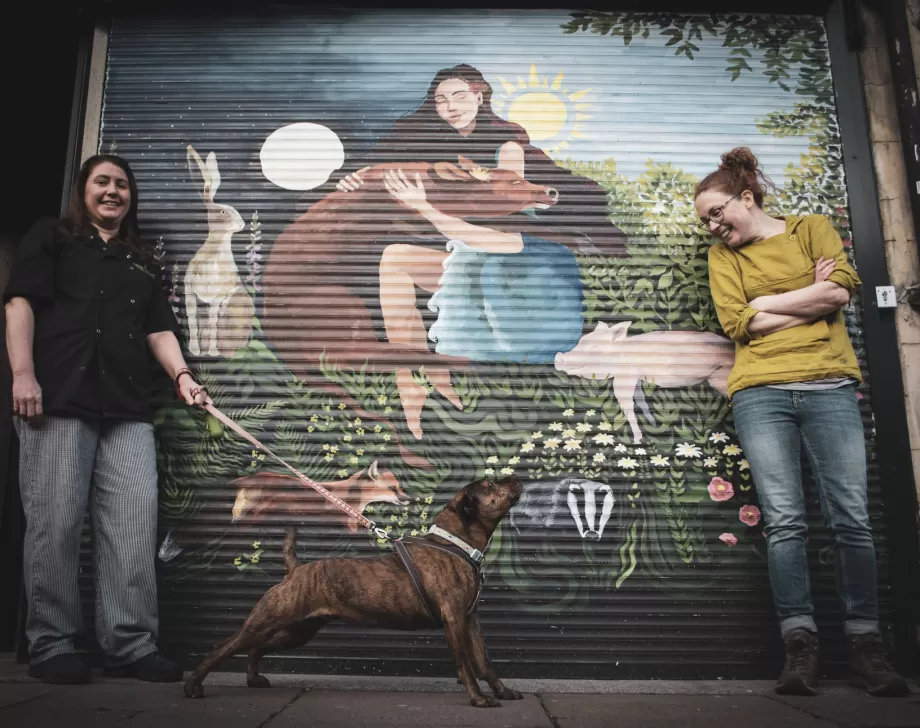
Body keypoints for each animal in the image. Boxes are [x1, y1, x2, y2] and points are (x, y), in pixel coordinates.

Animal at [183, 474, 520, 708]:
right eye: (490, 484)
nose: (517, 477)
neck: (455, 543)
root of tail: (296, 568)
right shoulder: (454, 620)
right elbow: (467, 664)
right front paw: (478, 698)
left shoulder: (470, 620)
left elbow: (485, 661)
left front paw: (503, 691)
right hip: (267, 619)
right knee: (225, 647)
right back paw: (193, 686)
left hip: (298, 630)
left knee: (257, 648)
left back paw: (253, 678)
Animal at [552, 322, 732, 444]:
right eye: (581, 341)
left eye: (595, 348)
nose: (558, 356)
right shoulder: (637, 378)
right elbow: (641, 401)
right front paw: (653, 423)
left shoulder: (625, 376)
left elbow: (627, 405)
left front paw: (637, 440)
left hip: (718, 380)